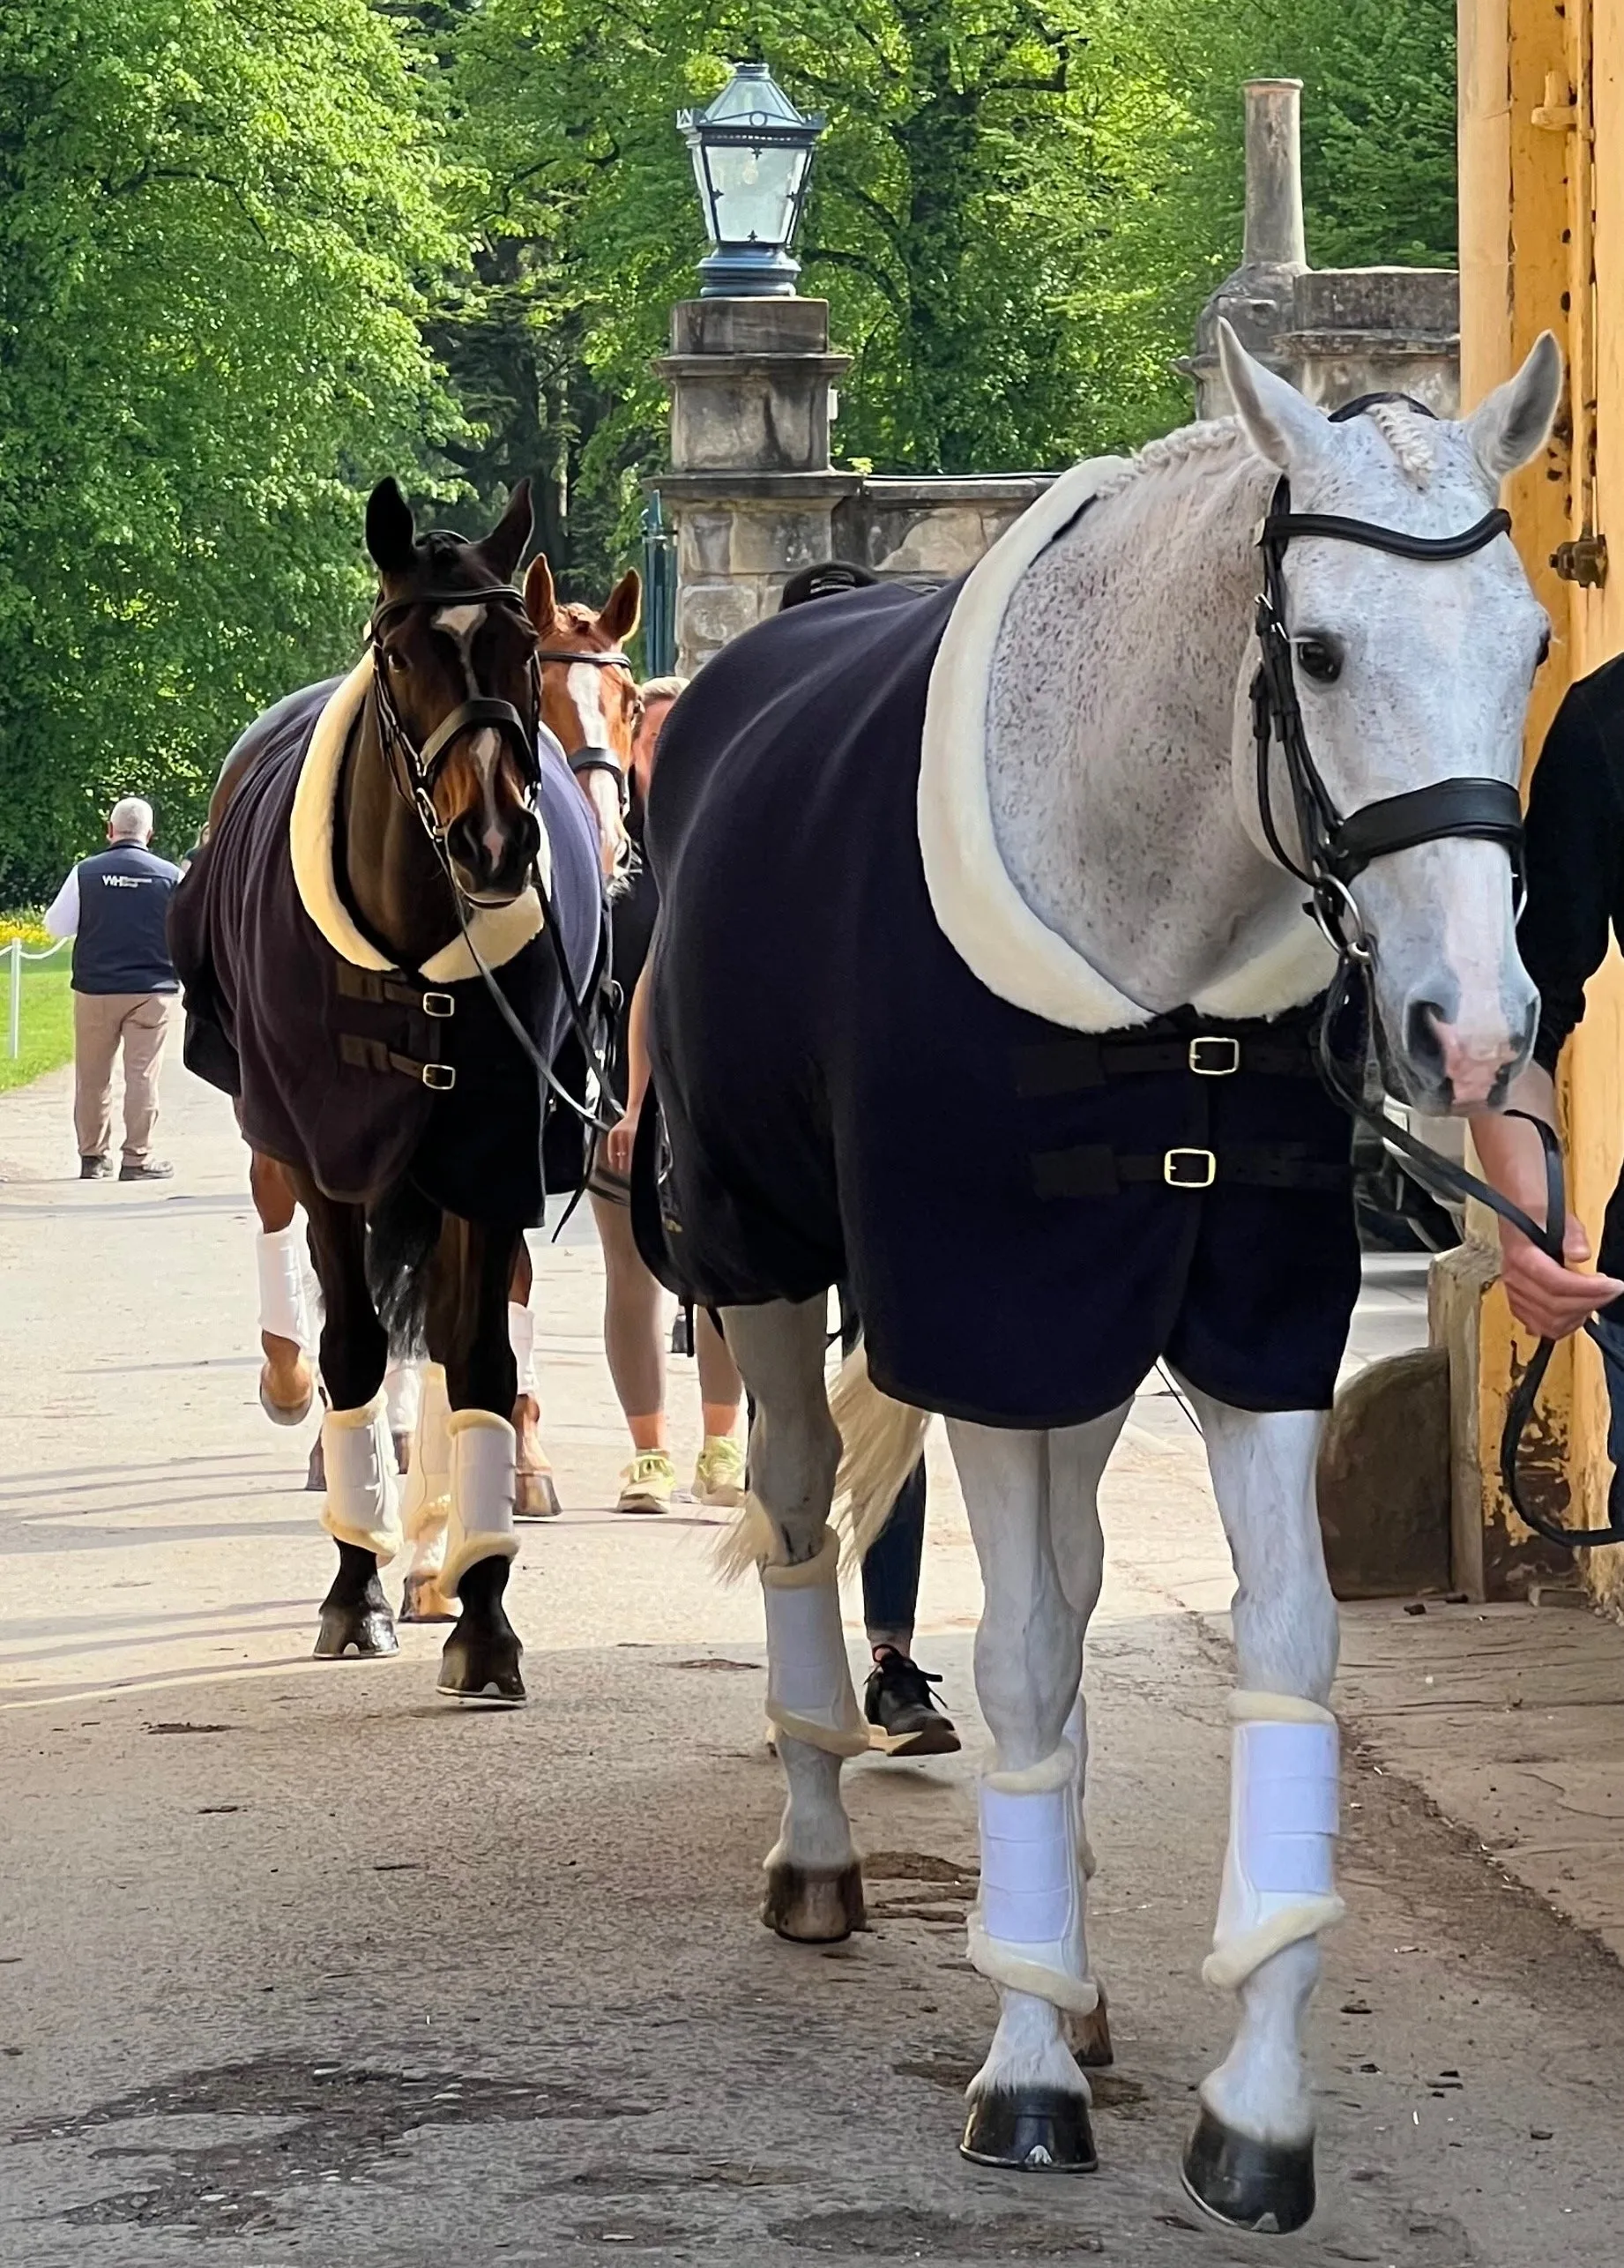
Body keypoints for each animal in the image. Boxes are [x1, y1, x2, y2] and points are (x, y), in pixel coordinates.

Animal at [172, 478, 603, 1705]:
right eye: (404, 653)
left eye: (516, 649)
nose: (496, 841)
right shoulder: (329, 1142)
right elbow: (356, 1344)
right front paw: (356, 1584)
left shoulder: (490, 1151)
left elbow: (479, 1355)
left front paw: (483, 1610)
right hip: (277, 1124)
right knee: (293, 1257)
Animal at [671, 324, 1560, 2231]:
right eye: (1320, 646)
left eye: (1531, 640)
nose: (1468, 1029)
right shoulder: (994, 1323)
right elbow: (1011, 1667)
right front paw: (1018, 2069)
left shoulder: (1235, 1330)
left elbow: (1279, 1647)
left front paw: (1255, 2099)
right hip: (761, 1254)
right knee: (799, 1501)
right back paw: (821, 1847)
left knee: (1065, 1599)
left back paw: (1064, 1964)